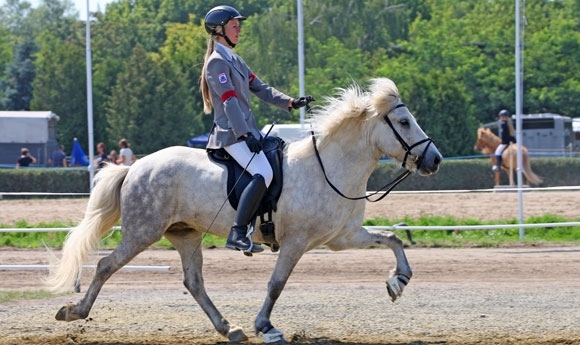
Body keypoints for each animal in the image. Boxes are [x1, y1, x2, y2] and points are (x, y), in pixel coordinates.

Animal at [47, 77, 442, 342]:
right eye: (404, 122)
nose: (435, 160)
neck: (329, 166)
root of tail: (135, 166)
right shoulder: (296, 243)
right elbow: (276, 284)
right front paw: (265, 326)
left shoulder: (343, 237)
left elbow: (391, 238)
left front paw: (398, 281)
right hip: (143, 232)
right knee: (105, 266)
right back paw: (74, 311)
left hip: (185, 234)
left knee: (193, 282)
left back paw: (228, 328)